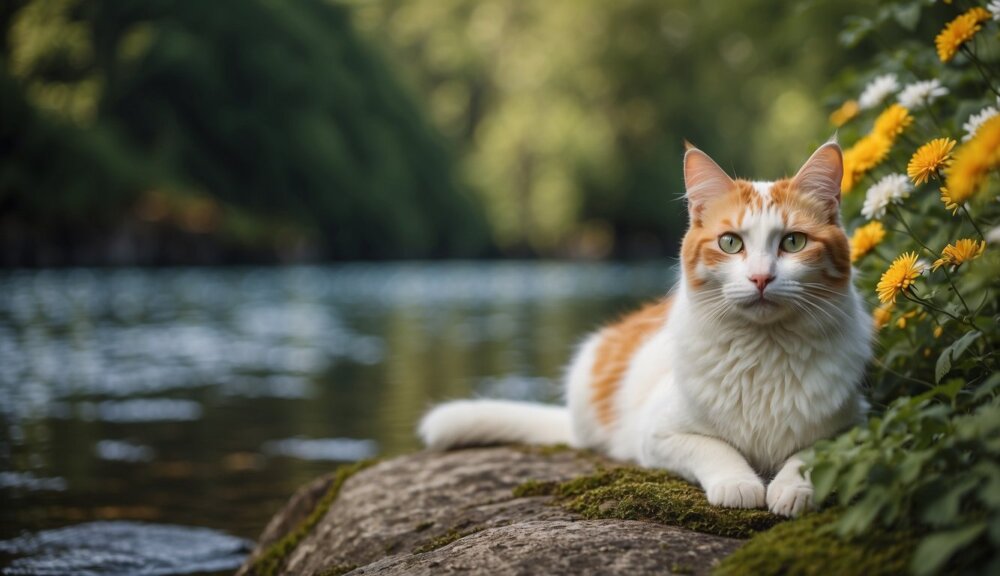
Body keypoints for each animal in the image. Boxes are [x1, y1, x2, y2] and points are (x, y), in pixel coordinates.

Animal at [418, 143, 872, 516]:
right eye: (730, 243)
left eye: (793, 243)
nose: (761, 278)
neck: (766, 352)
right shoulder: (657, 435)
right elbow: (716, 449)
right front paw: (740, 483)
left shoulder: (852, 425)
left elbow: (810, 454)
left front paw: (792, 488)